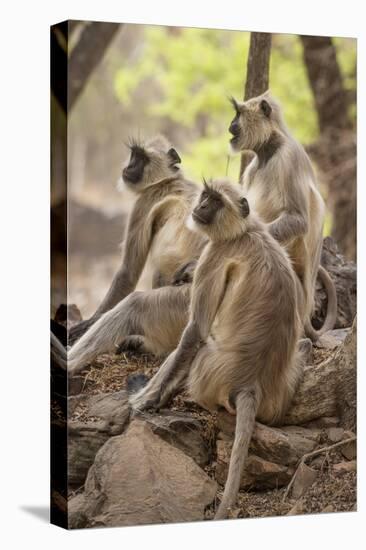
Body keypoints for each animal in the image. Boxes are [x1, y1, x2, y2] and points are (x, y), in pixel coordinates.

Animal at [68, 137, 206, 376]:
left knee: (134, 304)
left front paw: (88, 322)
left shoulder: (144, 202)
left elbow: (128, 272)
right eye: (133, 155)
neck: (169, 180)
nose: (128, 166)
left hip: (186, 305)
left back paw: (67, 363)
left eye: (140, 159)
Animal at [129, 180, 304, 520]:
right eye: (205, 196)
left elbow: (195, 330)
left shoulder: (213, 254)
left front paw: (149, 400)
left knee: (196, 351)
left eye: (215, 201)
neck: (245, 231)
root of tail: (251, 384)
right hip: (279, 397)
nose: (200, 207)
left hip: (208, 374)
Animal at [229, 93, 338, 342]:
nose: (231, 125)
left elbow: (299, 220)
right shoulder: (251, 168)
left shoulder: (289, 158)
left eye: (238, 114)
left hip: (295, 297)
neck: (269, 150)